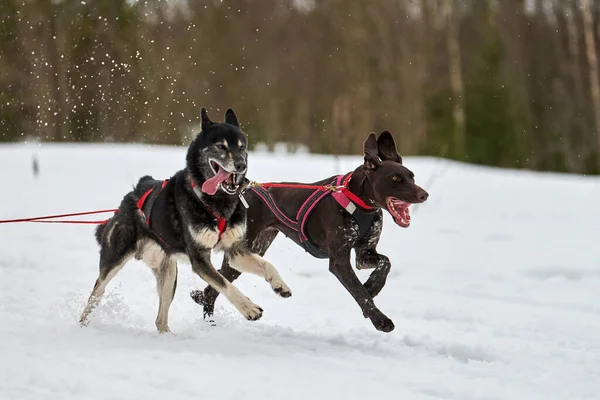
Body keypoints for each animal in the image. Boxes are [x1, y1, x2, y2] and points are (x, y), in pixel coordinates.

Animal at [80, 108, 292, 332]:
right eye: (221, 146)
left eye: (242, 147)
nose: (241, 165)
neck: (217, 202)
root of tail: (132, 194)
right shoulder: (199, 259)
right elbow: (225, 284)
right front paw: (248, 308)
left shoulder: (235, 251)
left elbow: (267, 265)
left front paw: (279, 285)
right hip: (113, 262)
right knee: (95, 295)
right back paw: (82, 325)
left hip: (169, 274)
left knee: (160, 319)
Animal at [190, 130, 428, 332]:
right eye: (395, 178)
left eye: (412, 176)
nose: (424, 194)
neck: (359, 202)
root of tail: (243, 191)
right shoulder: (339, 261)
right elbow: (360, 293)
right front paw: (380, 319)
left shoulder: (364, 254)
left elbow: (385, 263)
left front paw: (373, 285)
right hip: (240, 253)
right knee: (214, 286)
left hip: (251, 252)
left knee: (213, 286)